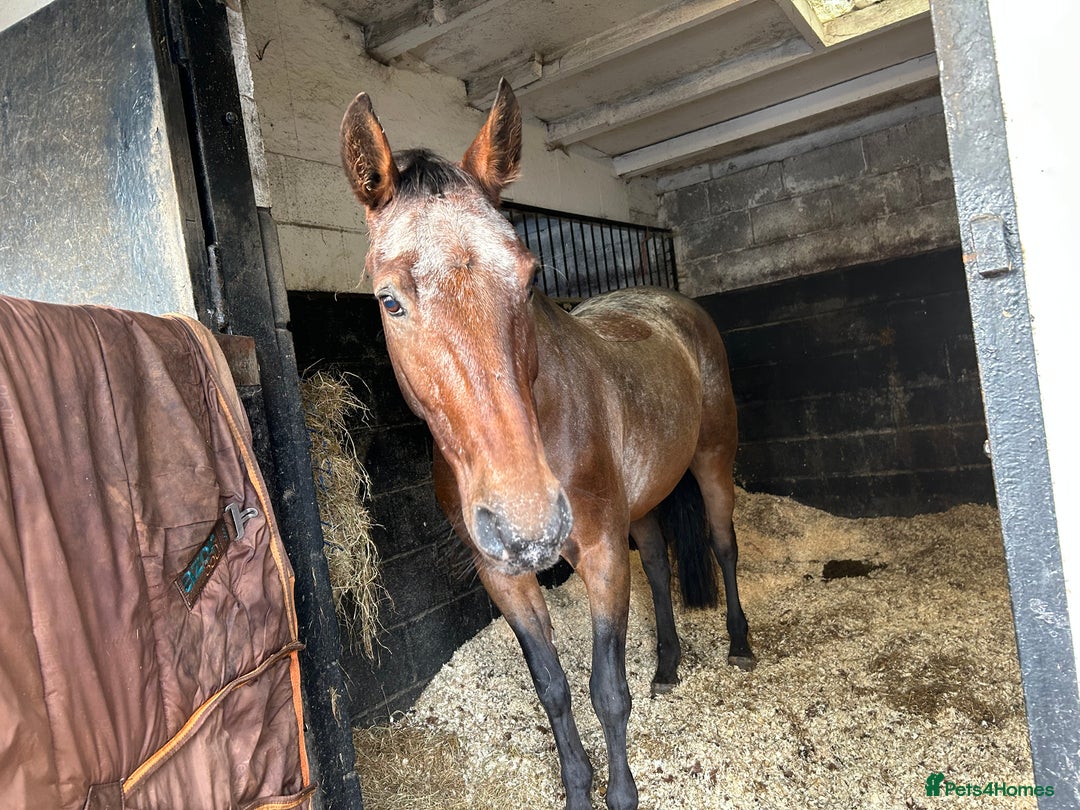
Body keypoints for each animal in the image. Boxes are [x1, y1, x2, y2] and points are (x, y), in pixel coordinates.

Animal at [340, 79, 754, 810]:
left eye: (529, 277)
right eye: (389, 300)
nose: (529, 524)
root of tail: (672, 304)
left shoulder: (599, 554)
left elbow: (606, 692)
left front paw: (621, 795)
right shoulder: (504, 576)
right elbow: (554, 689)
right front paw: (577, 789)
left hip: (712, 461)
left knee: (723, 545)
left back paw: (739, 646)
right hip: (641, 505)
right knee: (656, 561)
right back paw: (669, 665)